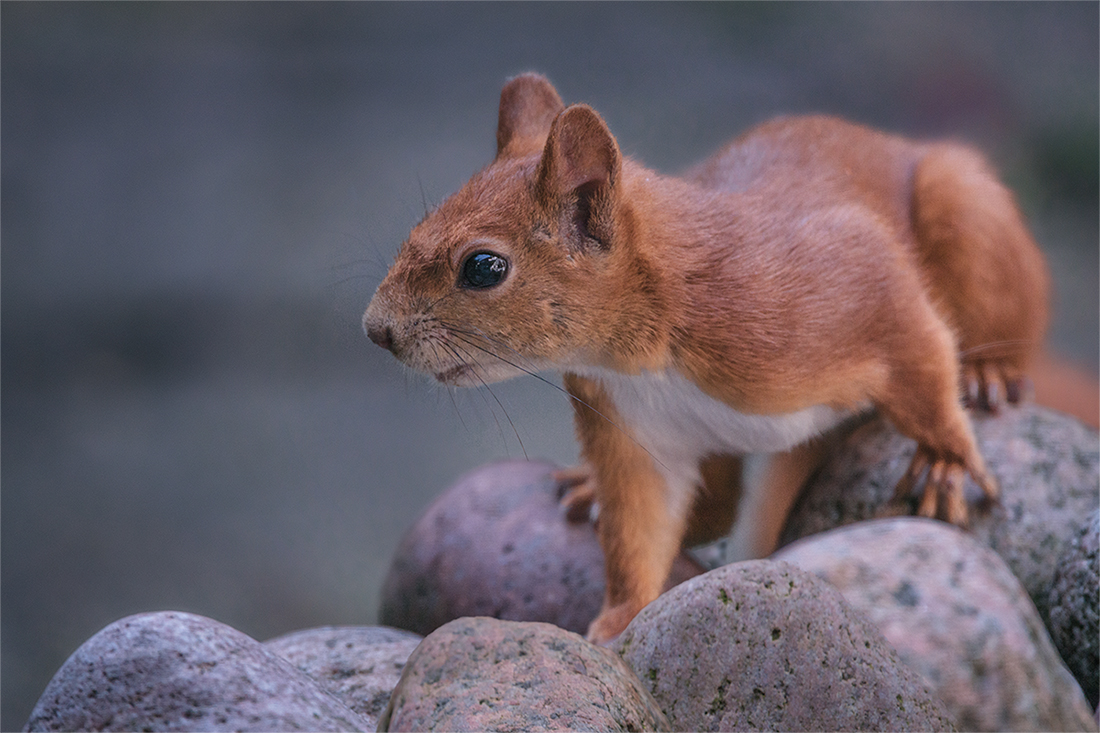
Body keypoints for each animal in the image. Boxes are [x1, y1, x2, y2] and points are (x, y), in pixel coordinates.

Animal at [363, 74, 1047, 642]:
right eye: (419, 226)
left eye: (484, 267)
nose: (376, 330)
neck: (648, 356)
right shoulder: (630, 430)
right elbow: (637, 528)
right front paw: (618, 622)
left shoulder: (850, 283)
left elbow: (922, 356)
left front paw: (945, 460)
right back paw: (588, 488)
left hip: (965, 212)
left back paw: (989, 373)